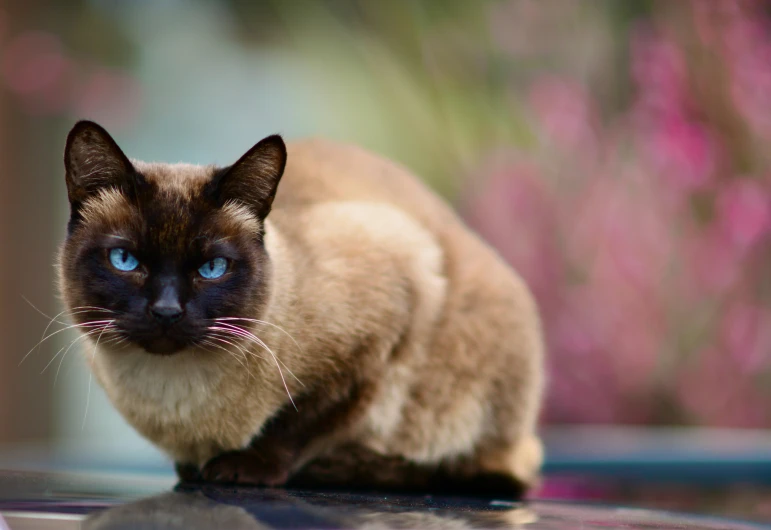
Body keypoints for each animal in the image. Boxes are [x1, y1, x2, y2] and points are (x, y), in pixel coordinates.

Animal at [57, 119, 544, 496]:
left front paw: (241, 469)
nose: (166, 312)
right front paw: (197, 469)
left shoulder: (380, 332)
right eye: (125, 260)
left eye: (212, 267)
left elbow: (299, 423)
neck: (176, 399)